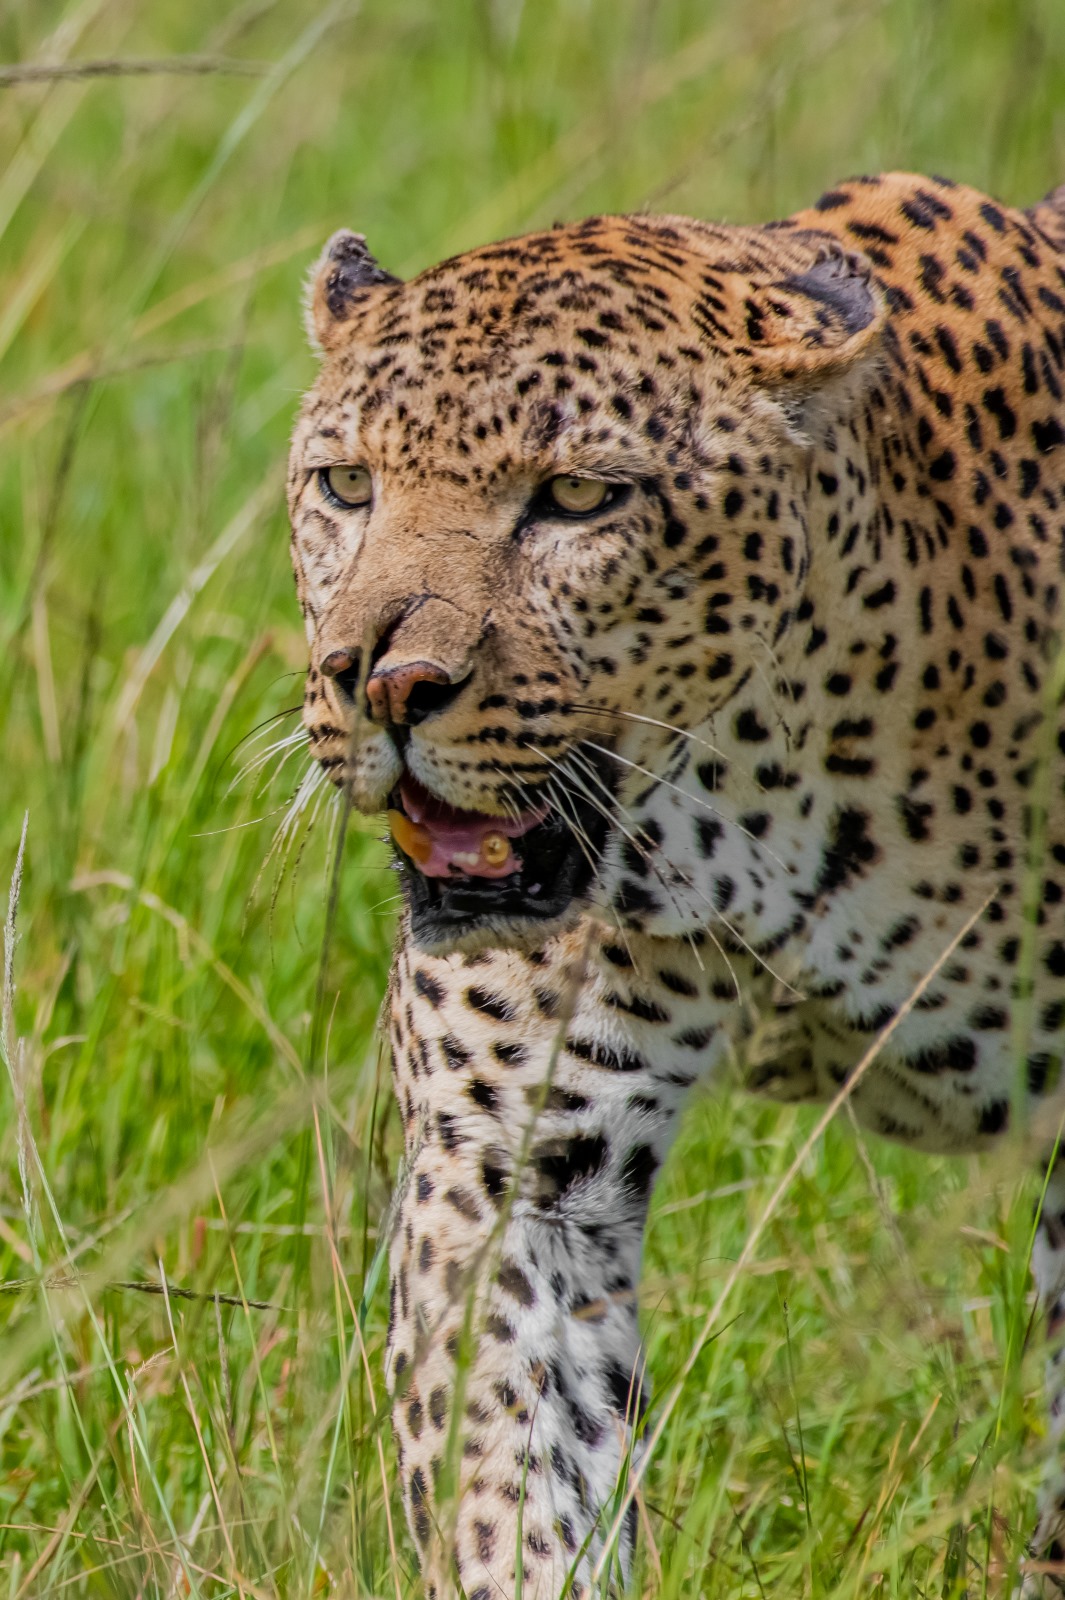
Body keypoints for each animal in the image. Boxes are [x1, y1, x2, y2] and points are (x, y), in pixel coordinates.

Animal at [286, 171, 1065, 1599]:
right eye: (348, 483)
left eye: (578, 497)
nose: (381, 685)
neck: (748, 810)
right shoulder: (512, 1176)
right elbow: (517, 1492)